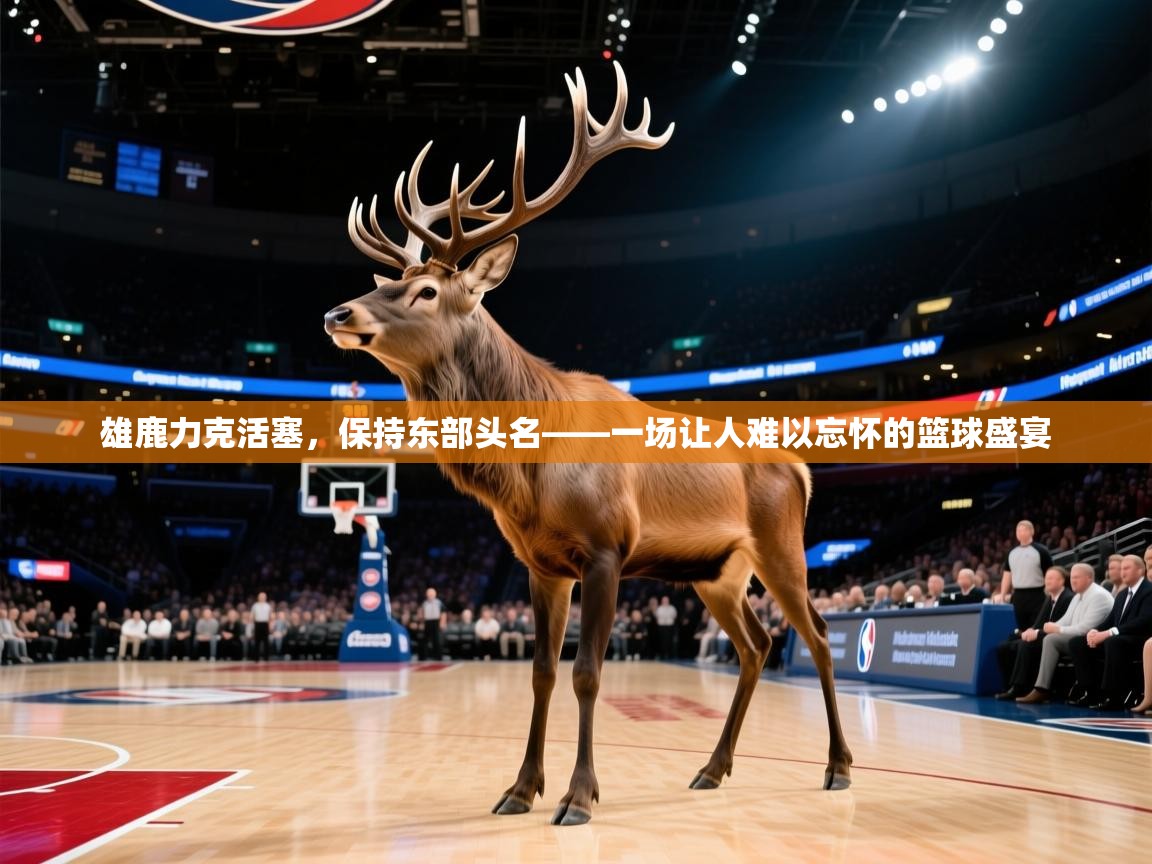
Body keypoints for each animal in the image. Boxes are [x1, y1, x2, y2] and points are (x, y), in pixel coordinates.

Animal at [325, 62, 852, 825]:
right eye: (390, 279)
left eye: (425, 291)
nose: (338, 313)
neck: (526, 473)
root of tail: (802, 469)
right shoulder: (540, 564)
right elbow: (542, 673)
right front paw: (519, 789)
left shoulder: (607, 547)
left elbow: (587, 672)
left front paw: (578, 796)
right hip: (717, 571)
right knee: (755, 647)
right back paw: (711, 769)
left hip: (781, 544)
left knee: (816, 635)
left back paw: (838, 766)